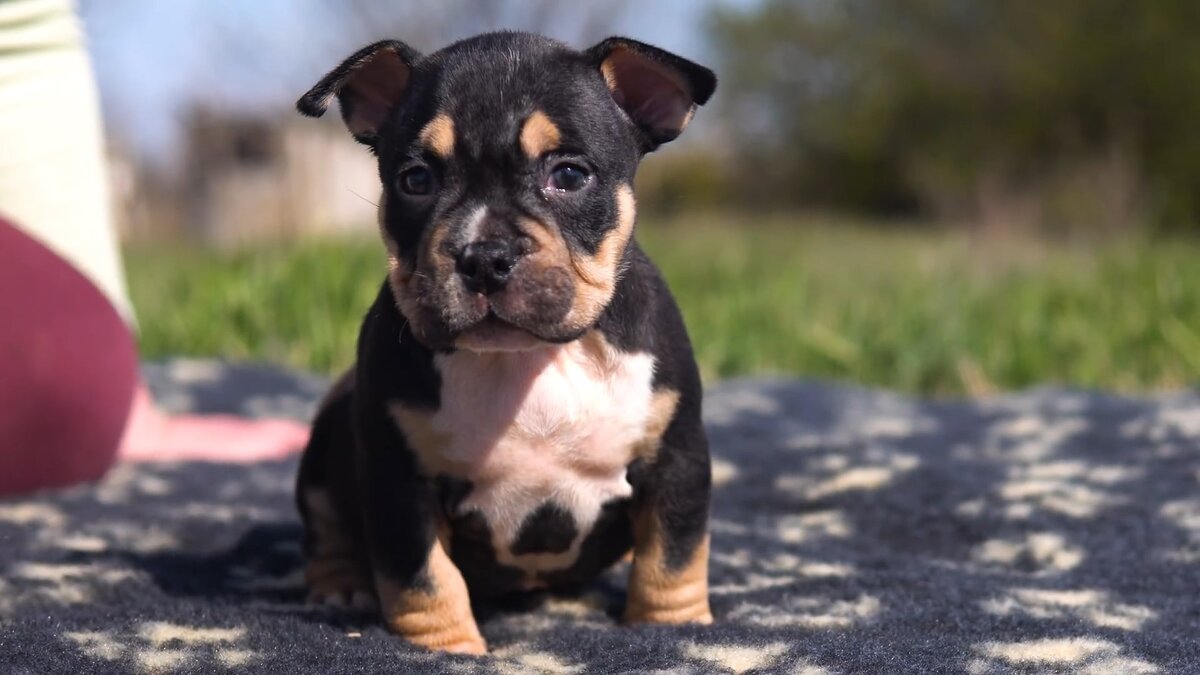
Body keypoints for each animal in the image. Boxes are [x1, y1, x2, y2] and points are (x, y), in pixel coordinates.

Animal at [295, 30, 715, 653]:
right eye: (416, 180)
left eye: (570, 175)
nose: (483, 256)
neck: (532, 357)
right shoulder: (400, 479)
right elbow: (422, 577)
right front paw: (445, 650)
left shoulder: (675, 457)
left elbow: (673, 554)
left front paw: (672, 631)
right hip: (325, 452)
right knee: (327, 528)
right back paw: (340, 587)